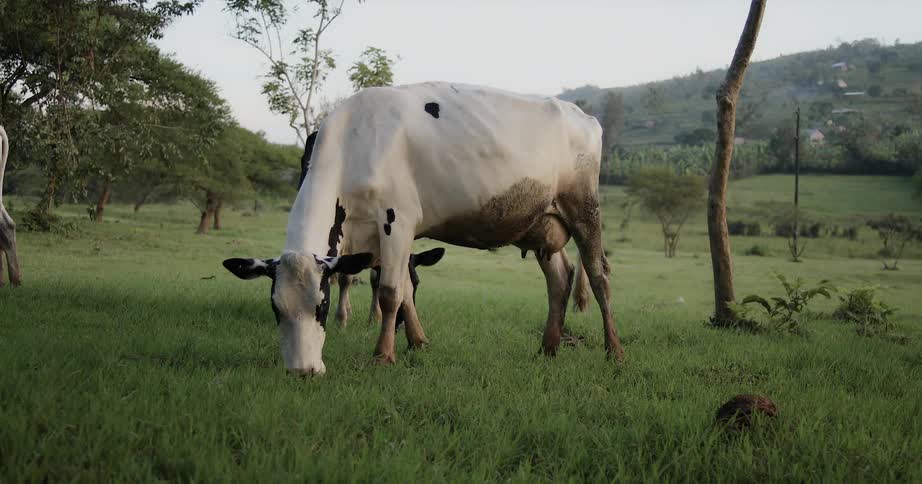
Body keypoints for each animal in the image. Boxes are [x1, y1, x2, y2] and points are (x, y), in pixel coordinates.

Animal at [222, 82, 623, 375]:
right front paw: (417, 342)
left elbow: (389, 292)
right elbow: (402, 289)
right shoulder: (378, 238)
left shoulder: (396, 220)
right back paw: (549, 347)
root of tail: (584, 116)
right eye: (276, 308)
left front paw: (383, 355)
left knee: (598, 274)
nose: (302, 370)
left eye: (320, 306)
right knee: (560, 279)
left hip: (584, 207)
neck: (355, 142)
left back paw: (614, 351)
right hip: (543, 224)